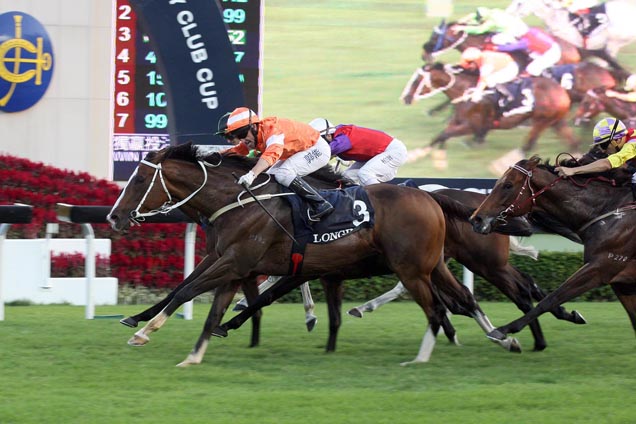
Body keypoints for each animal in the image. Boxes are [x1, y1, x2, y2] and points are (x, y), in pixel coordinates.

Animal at [105, 144, 520, 362]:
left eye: (140, 179)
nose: (114, 217)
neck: (238, 201)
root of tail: (433, 198)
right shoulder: (231, 260)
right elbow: (188, 290)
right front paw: (143, 321)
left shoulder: (240, 261)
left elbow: (193, 290)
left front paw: (146, 330)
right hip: (431, 265)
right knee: (462, 298)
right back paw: (501, 337)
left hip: (423, 267)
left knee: (449, 303)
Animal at [400, 63, 580, 154]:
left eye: (417, 81)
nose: (406, 98)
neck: (466, 92)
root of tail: (562, 91)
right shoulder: (458, 121)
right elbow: (440, 136)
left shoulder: (472, 126)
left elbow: (444, 134)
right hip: (556, 121)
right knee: (572, 142)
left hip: (542, 120)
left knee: (528, 145)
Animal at [470, 157, 632, 342]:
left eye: (508, 185)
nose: (476, 219)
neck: (609, 210)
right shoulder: (622, 283)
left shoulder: (601, 266)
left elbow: (551, 298)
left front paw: (502, 330)